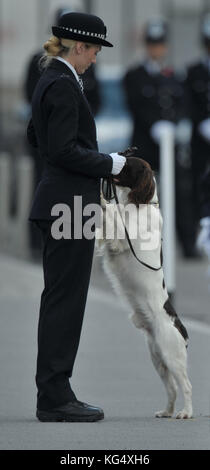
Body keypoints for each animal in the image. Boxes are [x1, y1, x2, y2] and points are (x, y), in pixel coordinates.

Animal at [96, 155, 193, 418]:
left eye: (126, 164)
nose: (111, 157)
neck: (139, 204)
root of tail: (180, 327)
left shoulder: (122, 238)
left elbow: (111, 213)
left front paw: (101, 197)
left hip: (171, 355)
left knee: (186, 385)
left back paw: (186, 413)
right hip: (157, 358)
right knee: (171, 389)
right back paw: (167, 412)